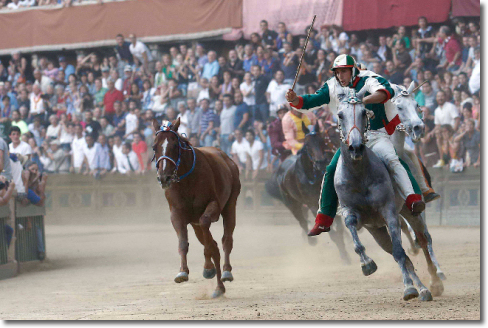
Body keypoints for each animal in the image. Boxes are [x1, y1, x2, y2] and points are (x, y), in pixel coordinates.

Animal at [150, 118, 239, 298]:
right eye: (155, 146)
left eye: (174, 145)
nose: (164, 177)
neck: (188, 180)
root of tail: (227, 159)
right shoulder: (177, 213)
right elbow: (184, 241)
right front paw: (183, 272)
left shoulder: (213, 205)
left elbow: (207, 228)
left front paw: (209, 266)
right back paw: (216, 281)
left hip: (231, 202)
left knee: (226, 238)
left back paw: (225, 272)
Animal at [266, 121, 350, 262]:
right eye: (307, 145)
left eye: (321, 141)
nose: (320, 162)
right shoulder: (312, 204)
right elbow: (332, 233)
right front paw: (344, 256)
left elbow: (339, 229)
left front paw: (344, 250)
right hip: (292, 204)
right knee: (302, 221)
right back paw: (311, 240)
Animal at [334, 86, 436, 300]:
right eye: (340, 115)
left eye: (364, 113)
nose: (356, 147)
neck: (360, 174)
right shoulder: (352, 212)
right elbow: (353, 231)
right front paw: (367, 264)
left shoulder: (389, 211)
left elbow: (399, 251)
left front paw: (409, 288)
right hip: (377, 231)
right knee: (406, 255)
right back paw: (422, 287)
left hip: (410, 212)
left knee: (423, 240)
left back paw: (433, 282)